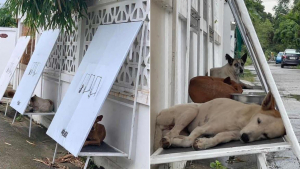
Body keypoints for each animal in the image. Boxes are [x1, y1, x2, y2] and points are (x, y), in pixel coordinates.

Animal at [156, 92, 284, 151]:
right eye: (258, 120)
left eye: (265, 135)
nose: (245, 138)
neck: (244, 121)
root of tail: (159, 114)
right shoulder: (202, 128)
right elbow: (188, 141)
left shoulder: (229, 135)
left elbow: (217, 138)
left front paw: (204, 143)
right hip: (191, 110)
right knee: (172, 133)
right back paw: (168, 140)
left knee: (174, 133)